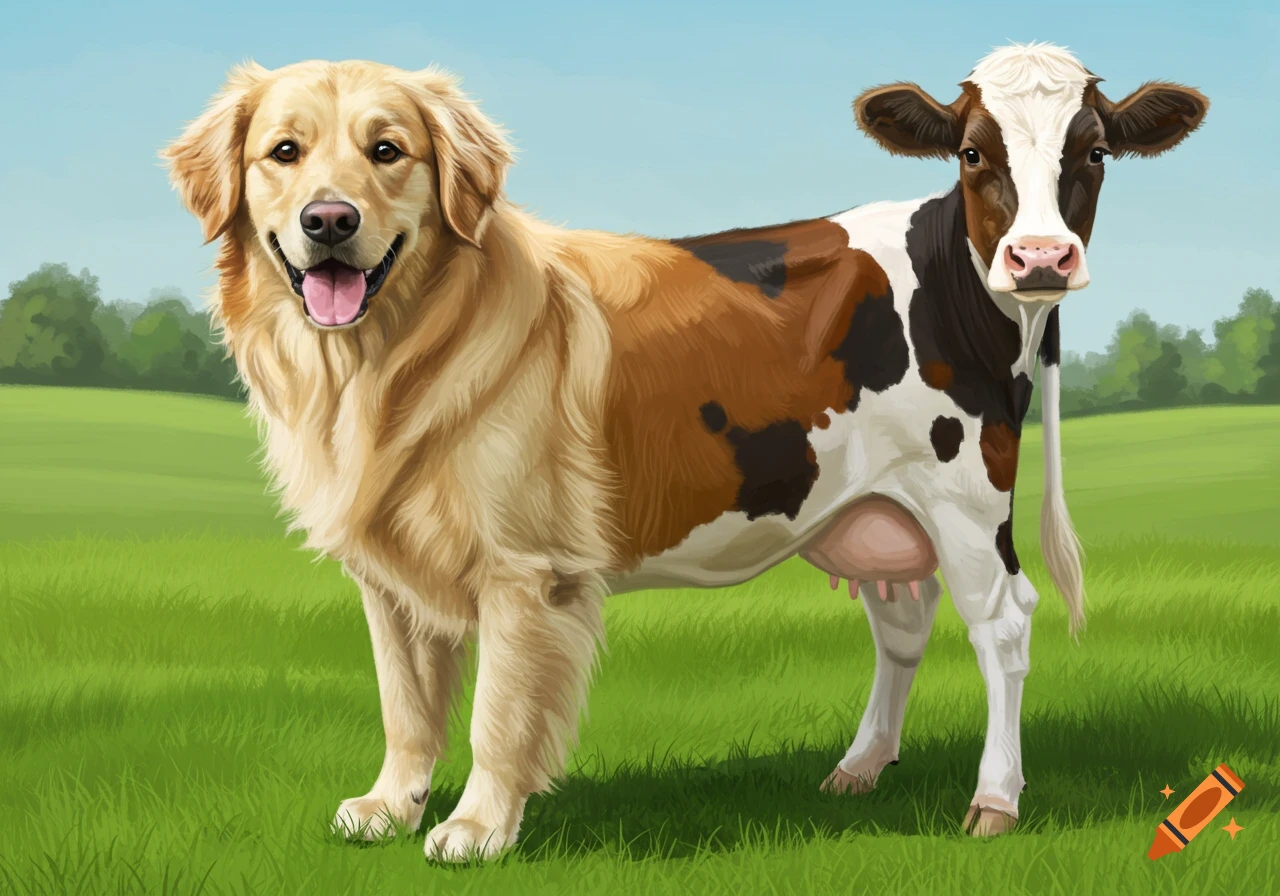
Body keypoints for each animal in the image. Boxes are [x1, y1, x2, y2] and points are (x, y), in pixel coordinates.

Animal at [163, 42, 1207, 862]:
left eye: (388, 150)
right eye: (284, 152)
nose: (330, 221)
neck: (377, 379)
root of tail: (967, 244)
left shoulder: (525, 569)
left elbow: (499, 705)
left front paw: (476, 828)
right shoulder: (388, 563)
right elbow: (406, 697)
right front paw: (389, 808)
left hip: (965, 495)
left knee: (1002, 626)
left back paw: (992, 802)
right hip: (871, 504)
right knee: (902, 622)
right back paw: (859, 768)